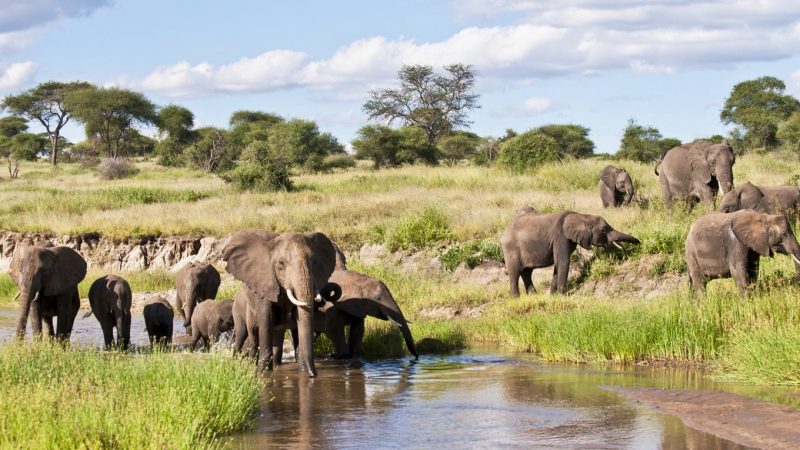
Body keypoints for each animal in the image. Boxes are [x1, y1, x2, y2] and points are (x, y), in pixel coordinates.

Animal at [222, 229, 338, 376]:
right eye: (281, 264)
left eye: (314, 262)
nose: (314, 374)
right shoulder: (265, 284)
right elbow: (266, 319)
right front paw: (262, 372)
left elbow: (298, 319)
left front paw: (302, 372)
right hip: (239, 310)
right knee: (247, 334)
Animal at [504, 208, 640, 296]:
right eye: (604, 230)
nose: (640, 242)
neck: (581, 216)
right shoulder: (560, 237)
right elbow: (563, 262)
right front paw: (561, 295)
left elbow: (558, 265)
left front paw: (553, 296)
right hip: (511, 249)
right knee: (515, 273)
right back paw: (516, 299)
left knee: (527, 272)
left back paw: (534, 296)